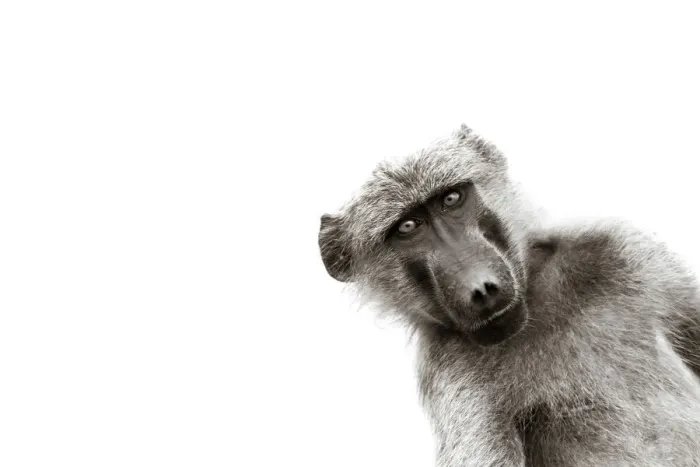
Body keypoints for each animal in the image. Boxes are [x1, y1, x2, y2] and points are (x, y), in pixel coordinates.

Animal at [318, 124, 700, 466]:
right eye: (408, 227)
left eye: (451, 199)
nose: (481, 287)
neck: (536, 312)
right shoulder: (453, 372)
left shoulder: (620, 246)